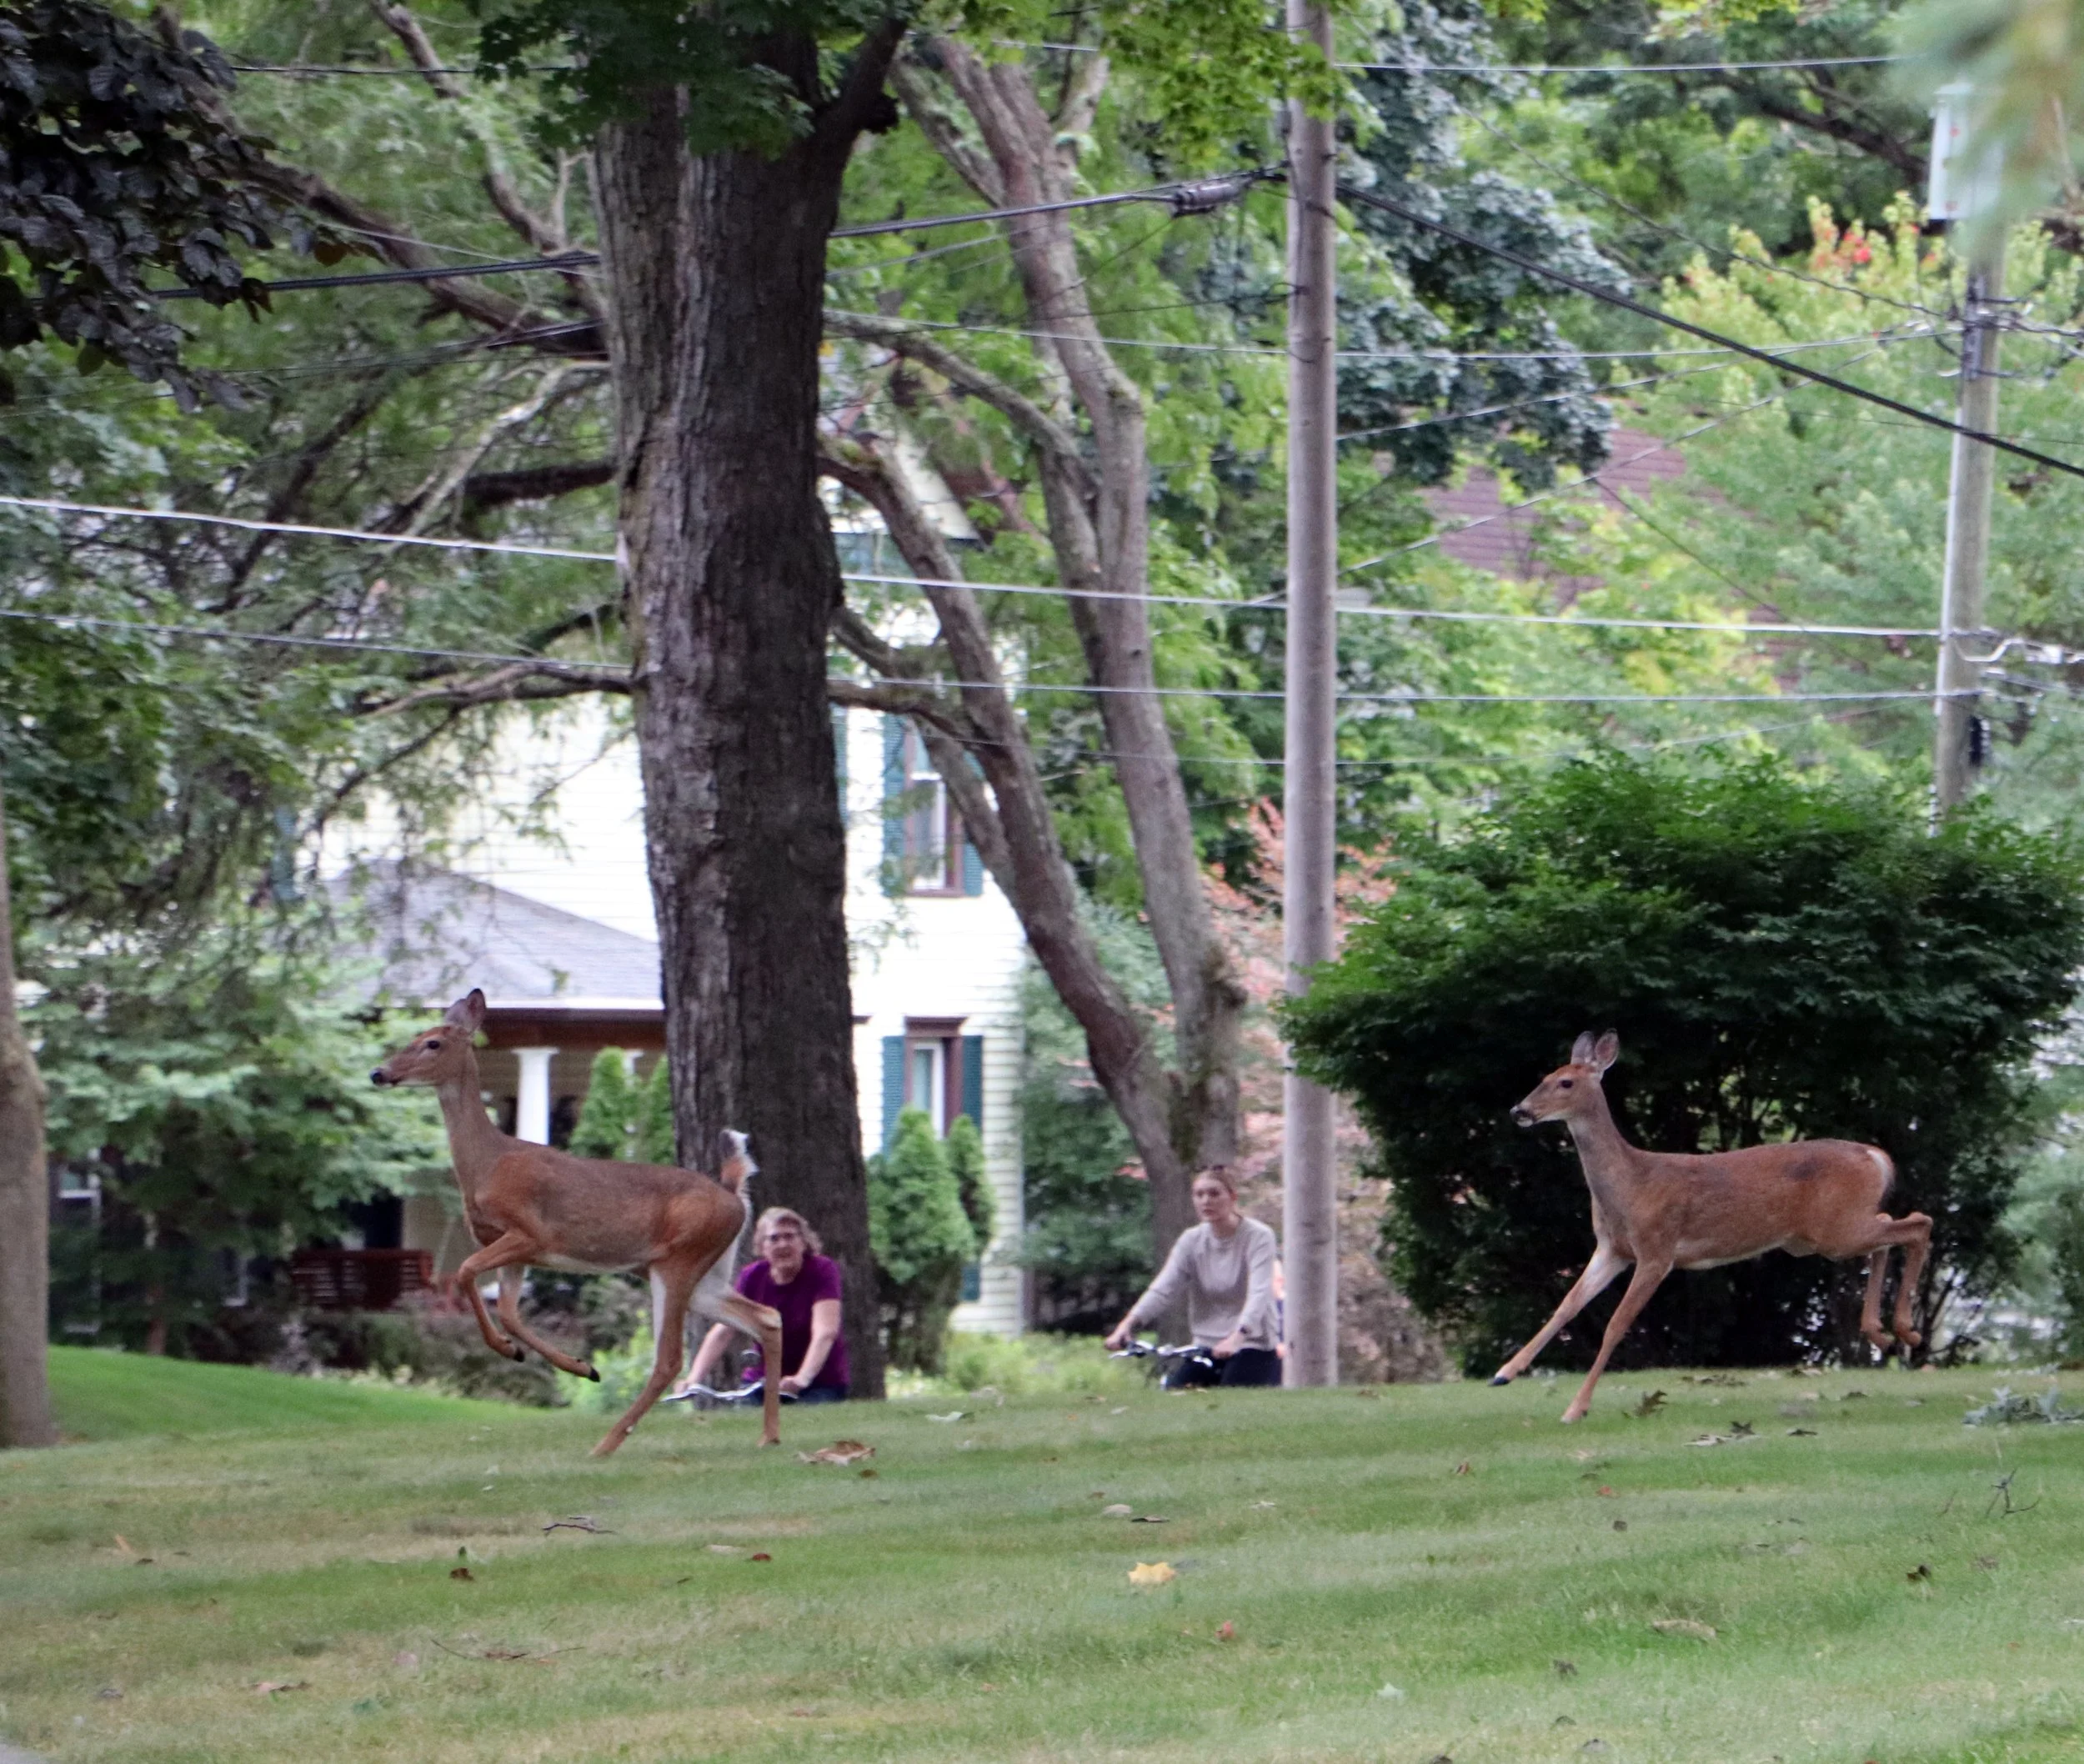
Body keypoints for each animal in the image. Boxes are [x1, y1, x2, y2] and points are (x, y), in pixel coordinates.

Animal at [369, 989, 784, 1455]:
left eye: (432, 1043)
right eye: (413, 1037)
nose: (378, 1073)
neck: (487, 1164)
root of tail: (733, 1196)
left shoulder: (530, 1233)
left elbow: (465, 1272)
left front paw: (519, 1352)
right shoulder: (515, 1251)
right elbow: (508, 1310)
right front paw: (570, 1364)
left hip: (680, 1259)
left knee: (670, 1358)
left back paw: (606, 1445)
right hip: (699, 1272)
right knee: (766, 1317)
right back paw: (769, 1434)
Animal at [1492, 1031, 1933, 1424]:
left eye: (1565, 1082)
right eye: (1544, 1076)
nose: (1519, 1111)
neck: (1632, 1184)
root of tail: (1875, 1156)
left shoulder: (1657, 1249)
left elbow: (1615, 1325)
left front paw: (1575, 1410)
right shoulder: (1612, 1249)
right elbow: (1566, 1306)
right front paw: (1504, 1373)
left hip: (1835, 1230)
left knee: (1919, 1224)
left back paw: (1907, 1333)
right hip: (1827, 1233)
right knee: (1890, 1227)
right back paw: (1880, 1334)